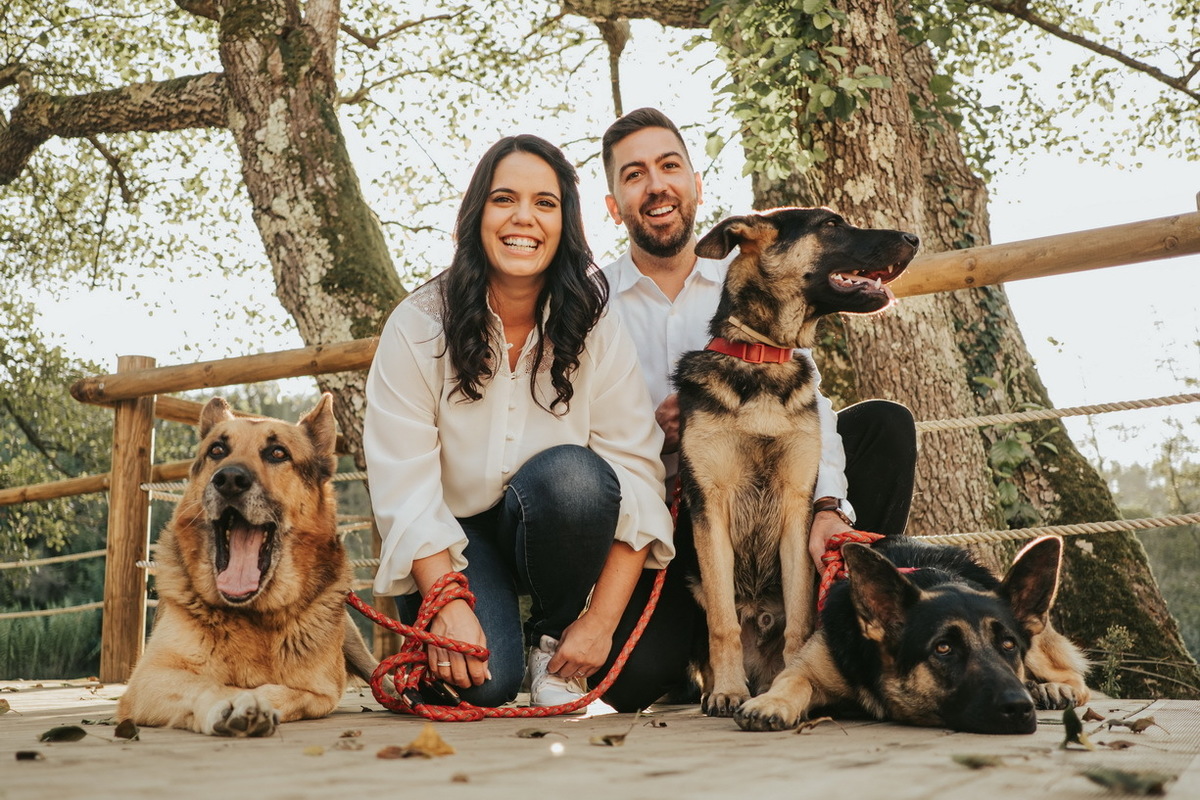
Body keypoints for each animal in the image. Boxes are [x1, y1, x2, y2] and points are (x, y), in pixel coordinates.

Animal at [117, 395, 376, 736]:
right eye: (217, 450)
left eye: (277, 453)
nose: (229, 479)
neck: (255, 616)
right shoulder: (150, 678)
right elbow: (208, 685)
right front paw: (231, 704)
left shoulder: (319, 691)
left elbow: (284, 691)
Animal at [674, 207, 918, 716]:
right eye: (830, 224)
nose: (914, 238)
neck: (764, 358)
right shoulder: (710, 508)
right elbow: (722, 622)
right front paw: (729, 690)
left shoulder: (795, 510)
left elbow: (801, 622)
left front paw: (791, 682)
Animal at [735, 536, 1091, 733]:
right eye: (943, 648)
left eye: (1008, 644)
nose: (1019, 708)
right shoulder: (806, 668)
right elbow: (792, 682)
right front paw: (772, 702)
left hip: (1040, 650)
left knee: (1075, 678)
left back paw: (1054, 689)